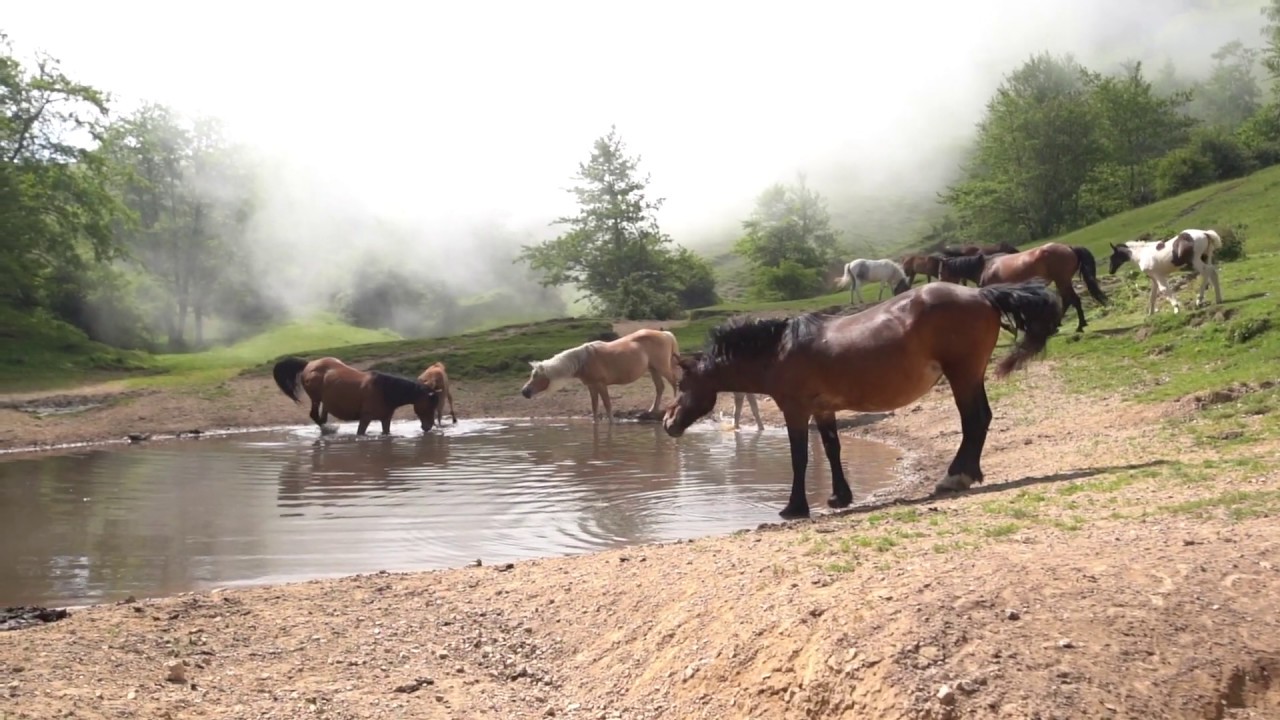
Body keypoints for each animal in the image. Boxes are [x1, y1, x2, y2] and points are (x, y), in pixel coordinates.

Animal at [272, 356, 440, 436]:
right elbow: (360, 433)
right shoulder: (365, 418)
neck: (384, 391)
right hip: (316, 399)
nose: (428, 427)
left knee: (322, 417)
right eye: (429, 406)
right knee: (314, 415)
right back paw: (329, 430)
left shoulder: (385, 420)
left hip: (326, 401)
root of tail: (309, 364)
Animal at [521, 328, 680, 423]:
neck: (583, 361)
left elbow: (607, 405)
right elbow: (595, 407)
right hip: (653, 369)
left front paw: (611, 423)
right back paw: (651, 411)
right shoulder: (592, 387)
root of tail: (665, 334)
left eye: (536, 376)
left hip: (662, 367)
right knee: (659, 387)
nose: (524, 392)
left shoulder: (600, 384)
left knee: (674, 382)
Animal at [663, 280, 1063, 519]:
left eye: (682, 382)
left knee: (974, 420)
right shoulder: (823, 410)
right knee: (980, 419)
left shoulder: (795, 411)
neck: (780, 349)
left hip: (962, 375)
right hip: (970, 375)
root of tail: (980, 294)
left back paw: (955, 477)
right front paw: (840, 497)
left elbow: (799, 457)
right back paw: (966, 474)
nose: (668, 423)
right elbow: (832, 451)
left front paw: (794, 507)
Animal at [938, 242, 1107, 332]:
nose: (939, 283)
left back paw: (1075, 325)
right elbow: (1016, 312)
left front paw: (1014, 328)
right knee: (1069, 300)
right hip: (1062, 281)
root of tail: (1069, 248)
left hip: (1062, 280)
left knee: (1071, 300)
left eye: (941, 271)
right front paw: (1022, 326)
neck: (986, 266)